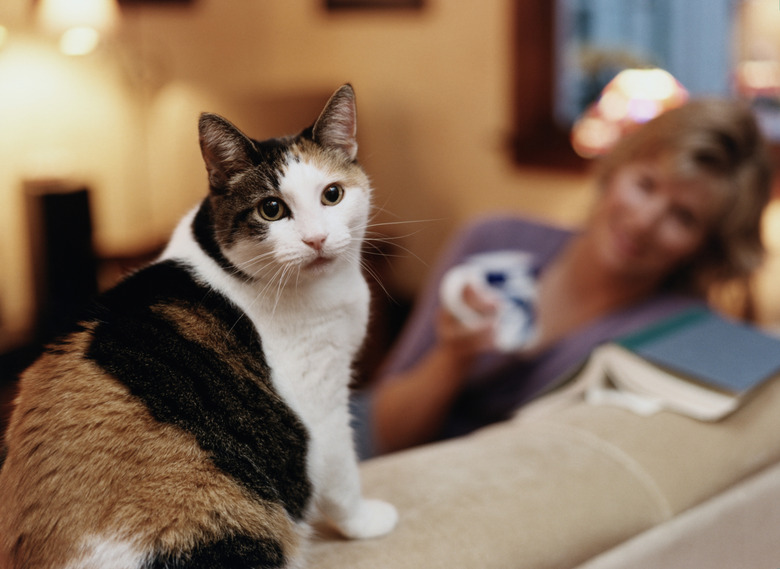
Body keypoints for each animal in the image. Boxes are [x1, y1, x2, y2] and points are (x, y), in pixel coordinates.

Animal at [0, 84, 400, 568]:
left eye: (333, 194)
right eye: (271, 209)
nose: (316, 239)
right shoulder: (321, 400)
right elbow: (342, 473)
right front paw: (365, 522)